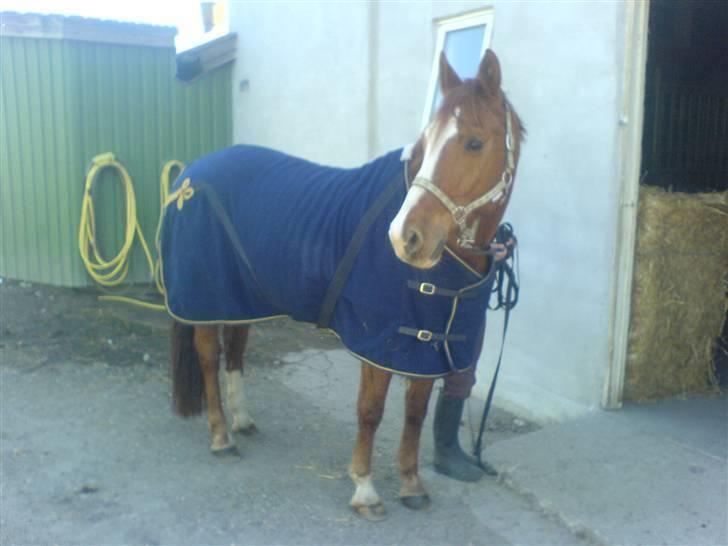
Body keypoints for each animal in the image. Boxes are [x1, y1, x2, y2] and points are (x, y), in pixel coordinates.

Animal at [161, 50, 524, 520]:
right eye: (425, 144)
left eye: (475, 143)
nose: (405, 238)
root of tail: (188, 177)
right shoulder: (381, 343)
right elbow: (370, 411)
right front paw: (365, 488)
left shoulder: (423, 347)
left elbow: (415, 413)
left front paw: (412, 485)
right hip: (206, 298)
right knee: (209, 357)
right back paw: (222, 436)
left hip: (239, 298)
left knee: (236, 352)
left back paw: (242, 420)